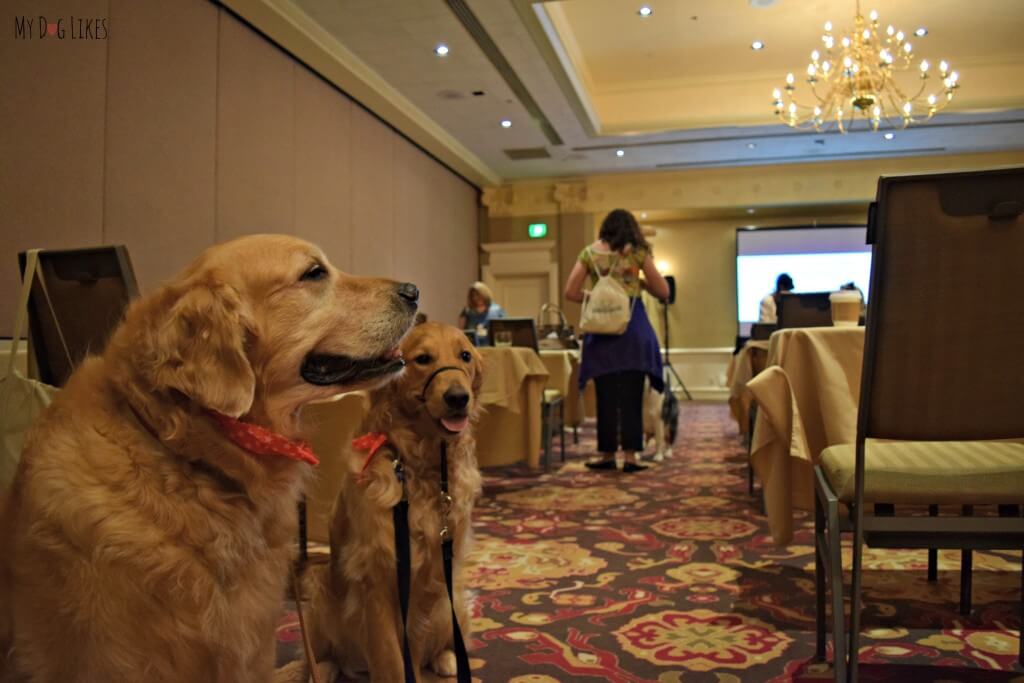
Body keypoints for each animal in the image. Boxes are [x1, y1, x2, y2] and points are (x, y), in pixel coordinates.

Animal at [284, 323, 483, 683]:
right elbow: (390, 658)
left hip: (453, 598)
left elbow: (411, 651)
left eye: (465, 355)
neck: (419, 466)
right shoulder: (374, 576)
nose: (458, 398)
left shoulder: (427, 578)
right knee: (324, 654)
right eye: (422, 359)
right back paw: (324, 668)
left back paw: (448, 660)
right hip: (320, 592)